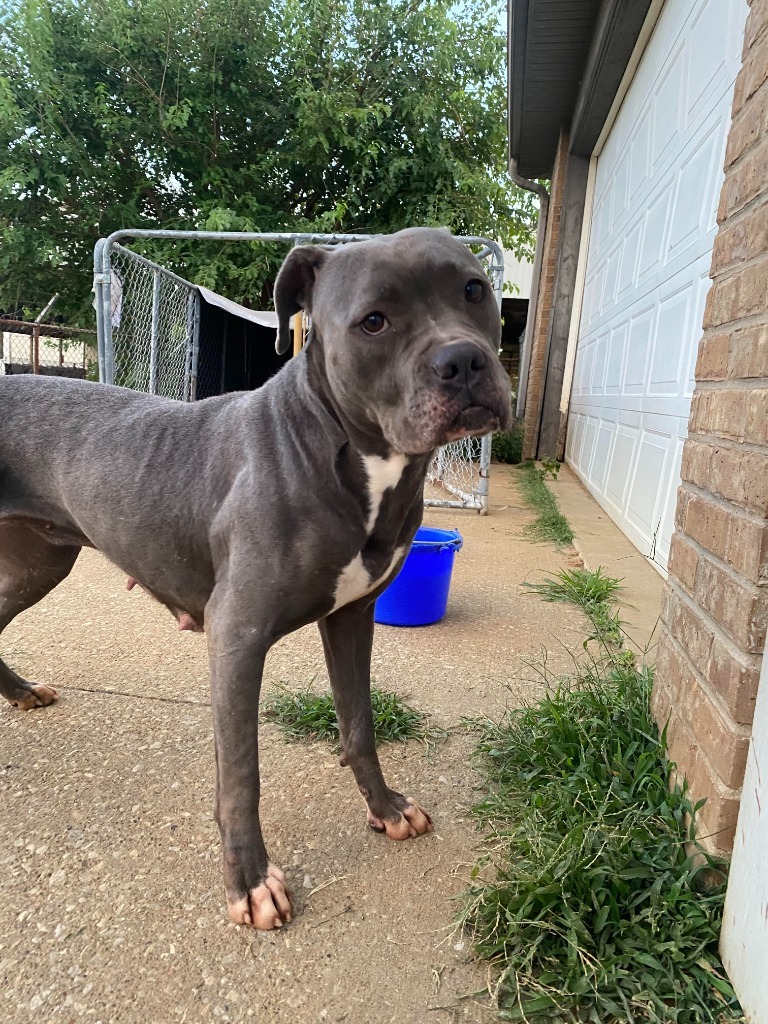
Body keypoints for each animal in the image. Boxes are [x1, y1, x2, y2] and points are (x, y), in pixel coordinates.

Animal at [3, 228, 514, 933]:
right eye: (373, 322)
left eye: (474, 289)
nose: (463, 361)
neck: (345, 453)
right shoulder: (237, 636)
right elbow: (241, 776)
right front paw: (248, 881)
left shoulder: (351, 618)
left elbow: (359, 726)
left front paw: (383, 808)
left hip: (38, 564)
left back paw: (21, 693)